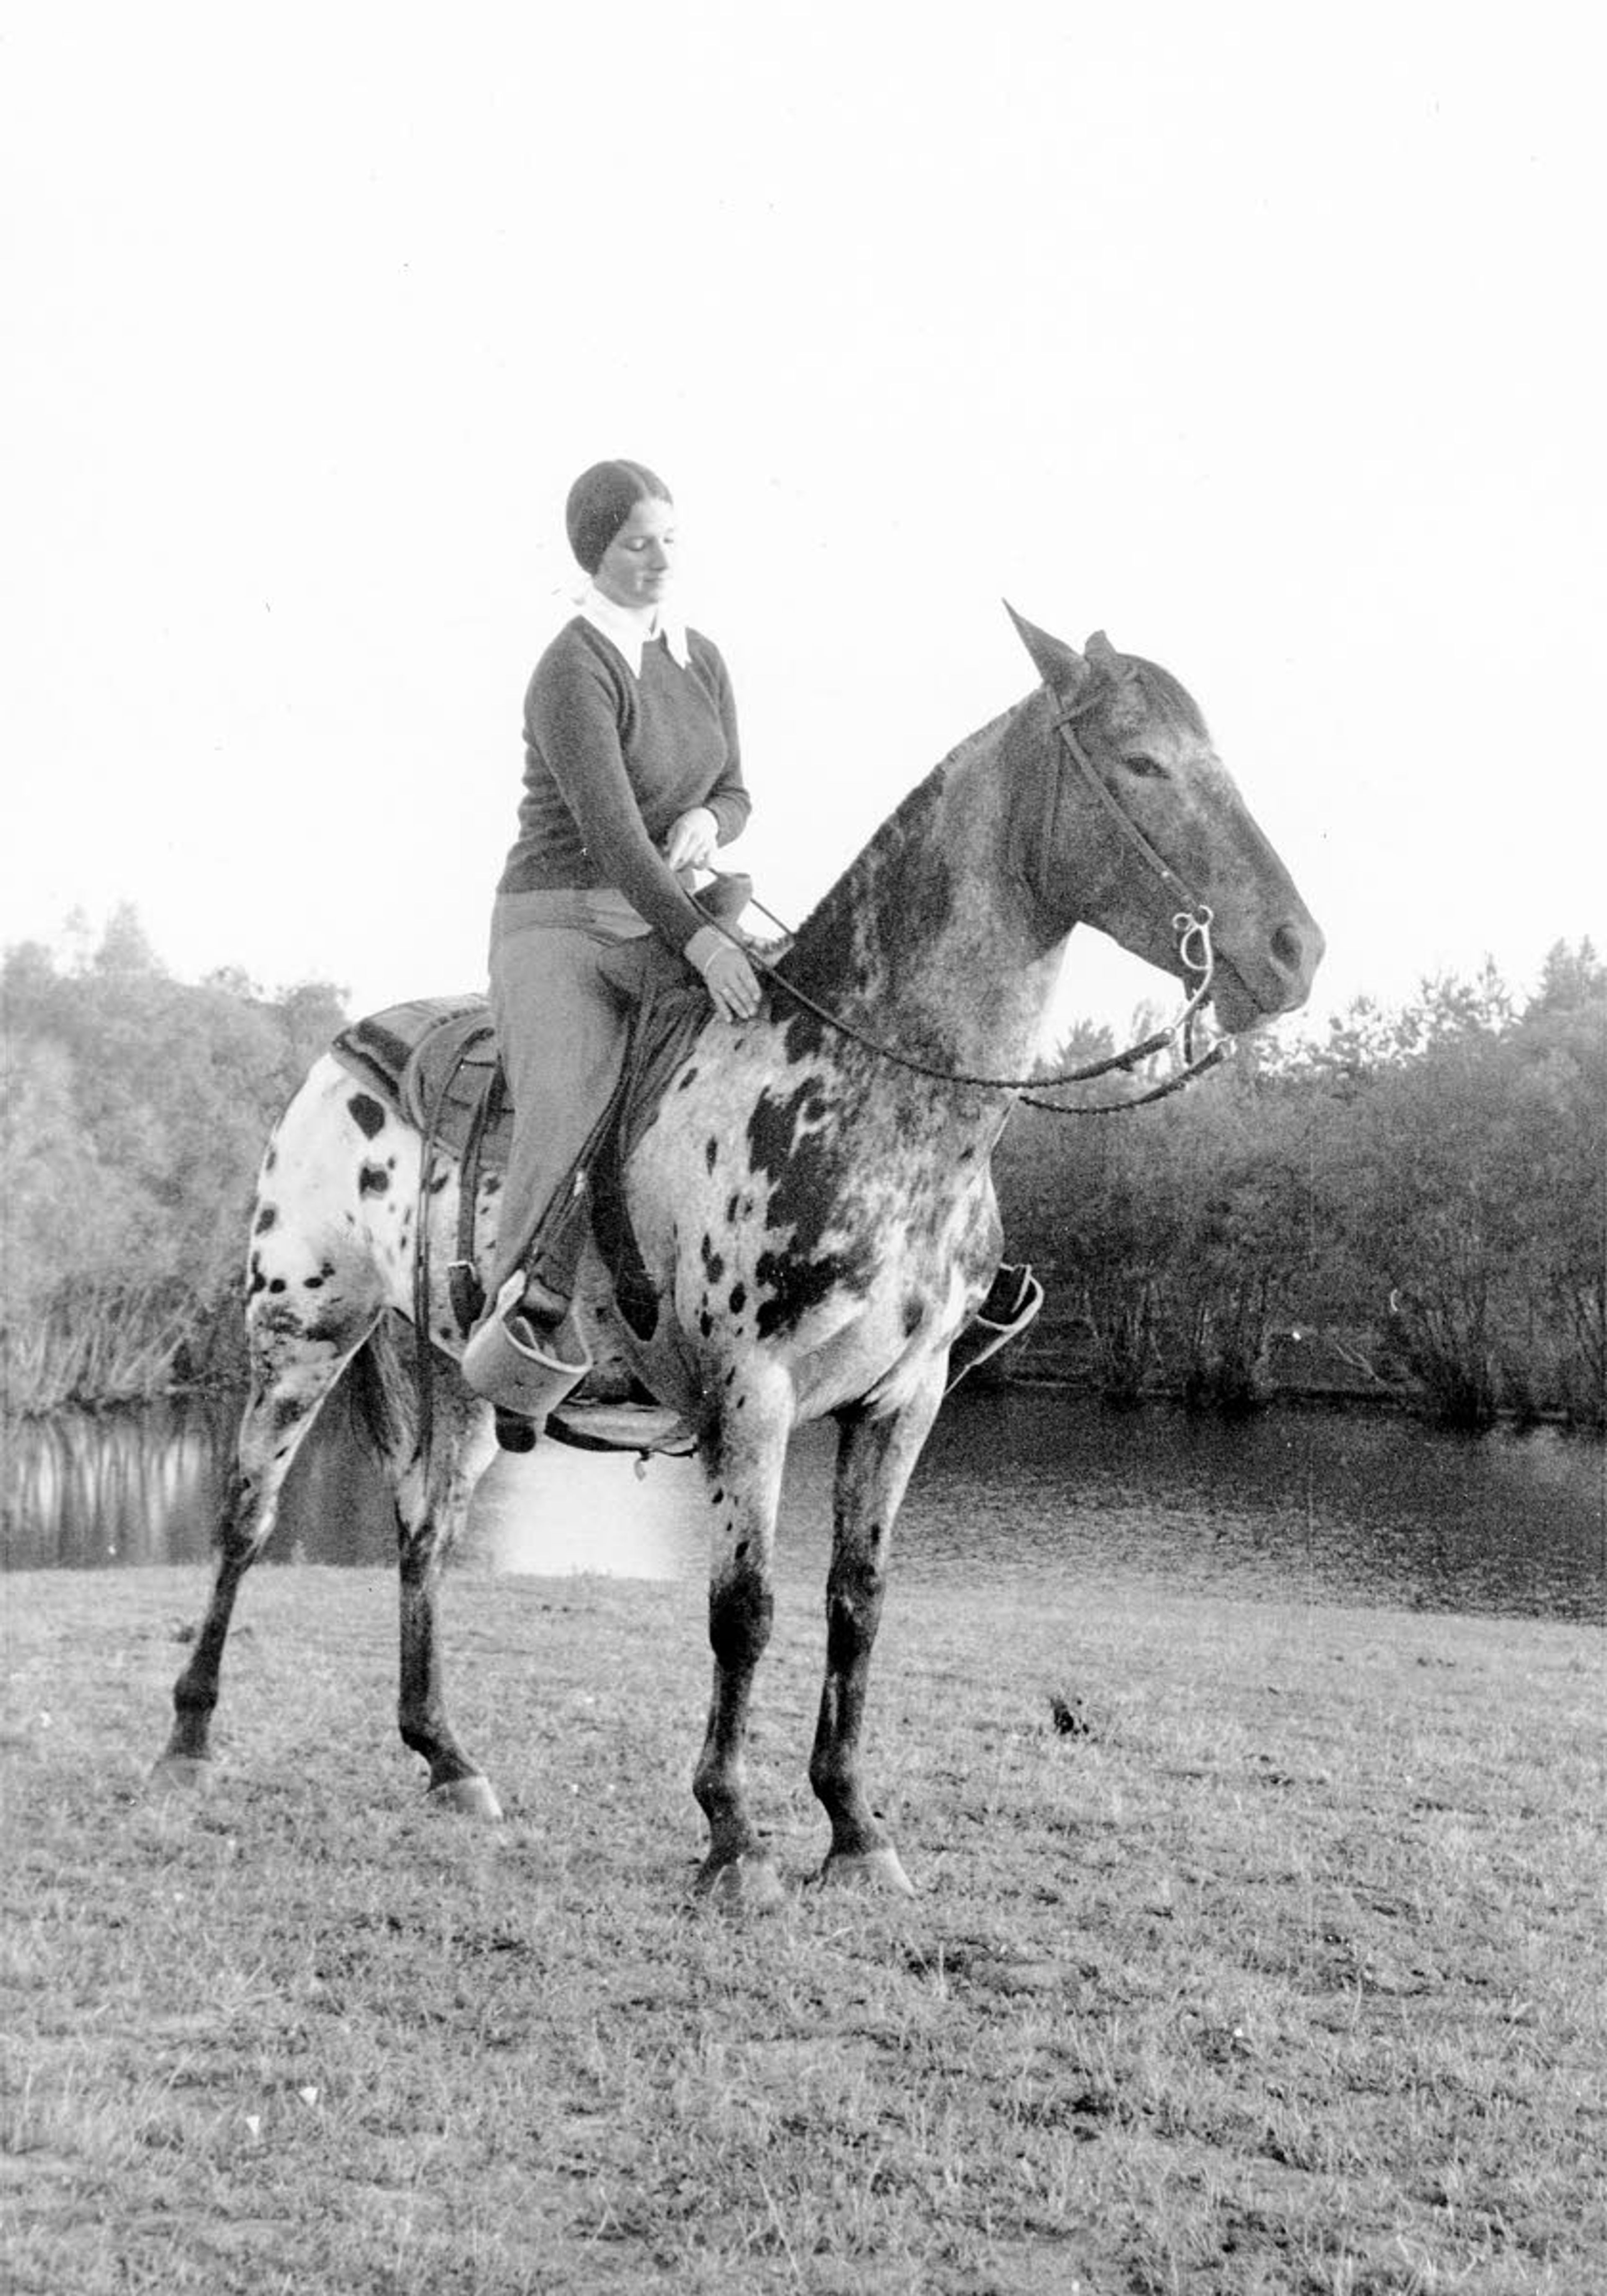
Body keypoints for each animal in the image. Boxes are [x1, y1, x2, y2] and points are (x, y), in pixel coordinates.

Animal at [157, 606, 1322, 1901]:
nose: (1294, 948)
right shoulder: (750, 1394)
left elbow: (856, 1605)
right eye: (1141, 762)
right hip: (302, 1330)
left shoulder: (904, 1399)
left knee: (423, 1536)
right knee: (247, 1517)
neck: (867, 1090)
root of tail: (341, 1050)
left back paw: (449, 1758)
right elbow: (744, 1609)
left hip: (453, 1373)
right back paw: (190, 1741)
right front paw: (734, 1833)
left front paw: (856, 1828)